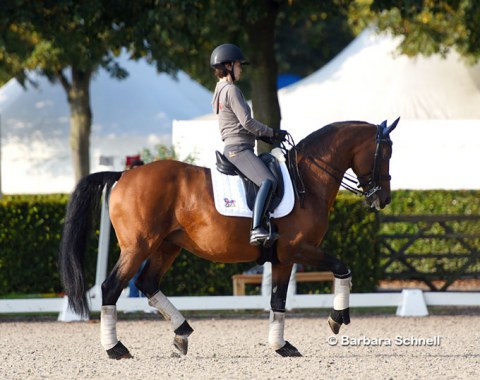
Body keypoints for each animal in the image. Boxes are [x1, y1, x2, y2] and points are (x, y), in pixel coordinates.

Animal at [59, 119, 398, 360]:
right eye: (386, 153)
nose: (383, 199)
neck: (308, 180)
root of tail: (123, 175)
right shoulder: (298, 249)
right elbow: (341, 267)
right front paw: (337, 318)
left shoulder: (283, 257)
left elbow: (278, 300)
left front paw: (281, 346)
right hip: (138, 247)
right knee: (111, 287)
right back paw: (115, 348)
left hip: (166, 246)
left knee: (147, 283)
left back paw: (181, 333)